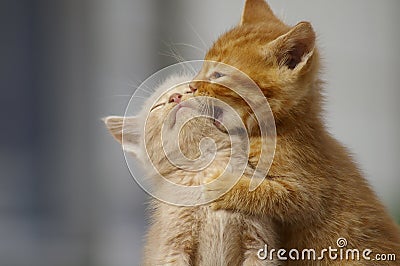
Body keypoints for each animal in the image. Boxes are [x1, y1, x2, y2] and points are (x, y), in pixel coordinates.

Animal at [104, 74, 278, 264]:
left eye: (190, 89)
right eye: (157, 106)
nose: (175, 97)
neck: (207, 163)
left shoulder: (259, 244)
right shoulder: (173, 247)